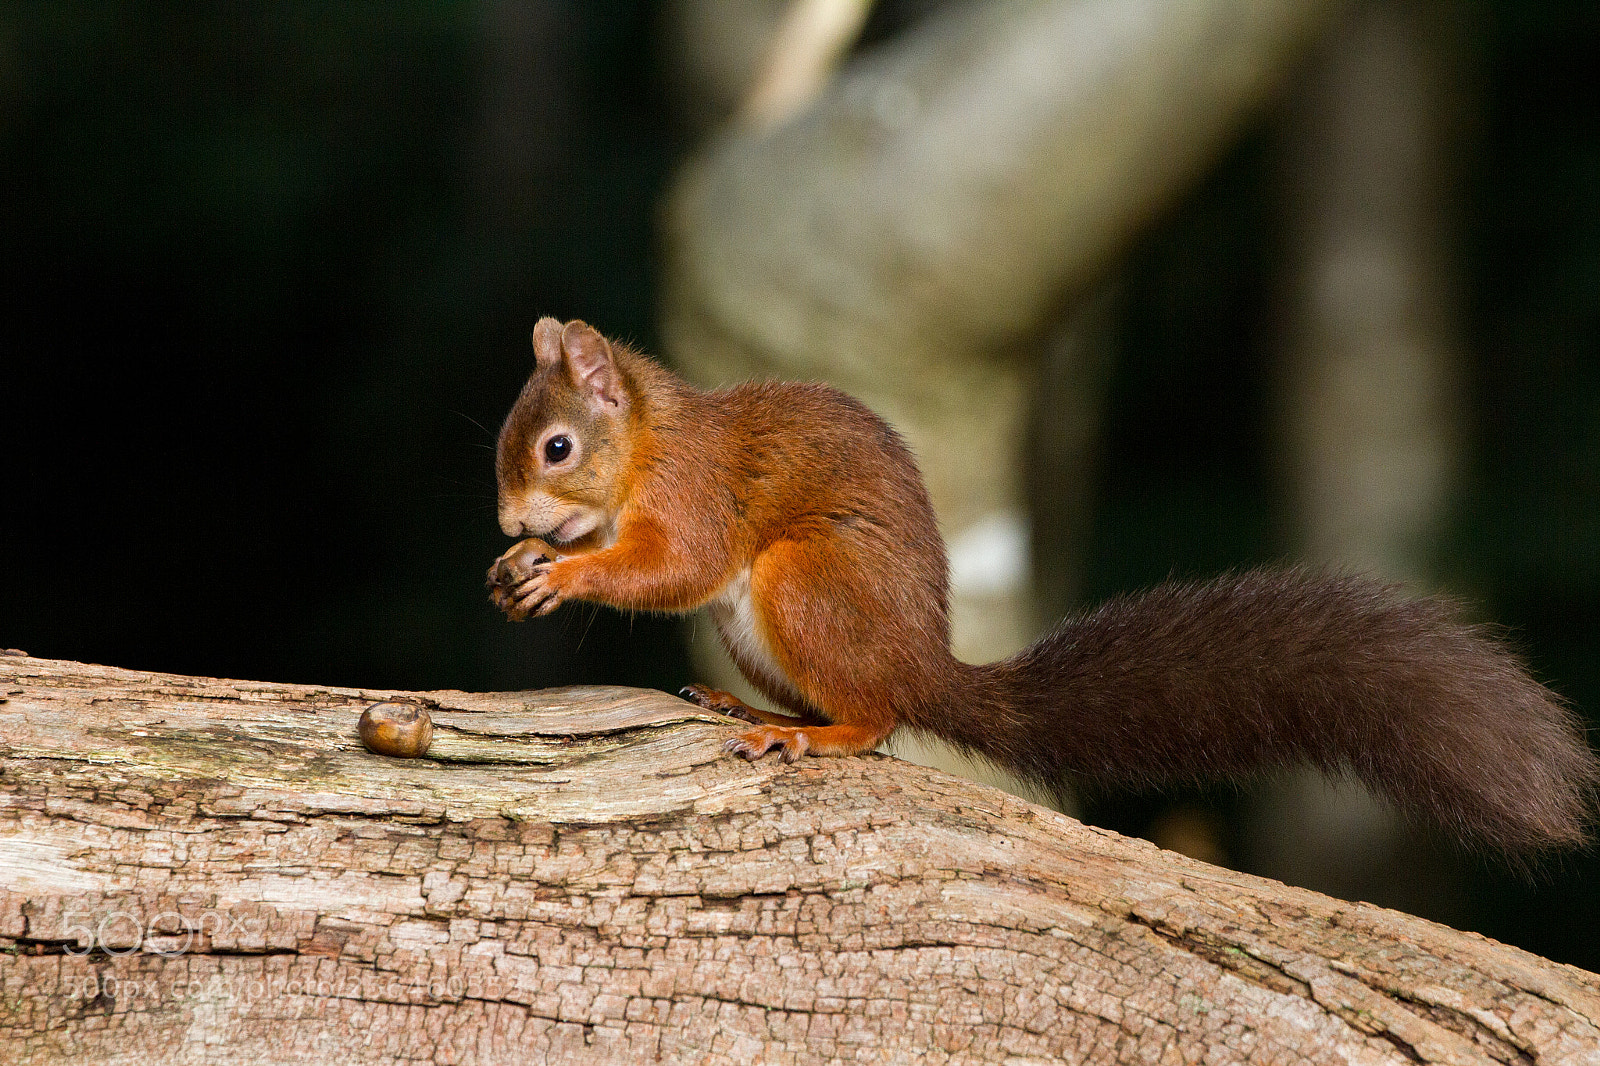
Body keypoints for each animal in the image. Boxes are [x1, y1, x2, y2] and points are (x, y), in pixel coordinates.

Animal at [486, 317, 1598, 857]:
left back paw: (806, 734)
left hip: (806, 583)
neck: (649, 442)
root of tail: (926, 662)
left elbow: (673, 565)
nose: (506, 526)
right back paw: (754, 706)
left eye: (556, 447)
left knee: (877, 720)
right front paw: (519, 568)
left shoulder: (695, 495)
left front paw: (566, 571)